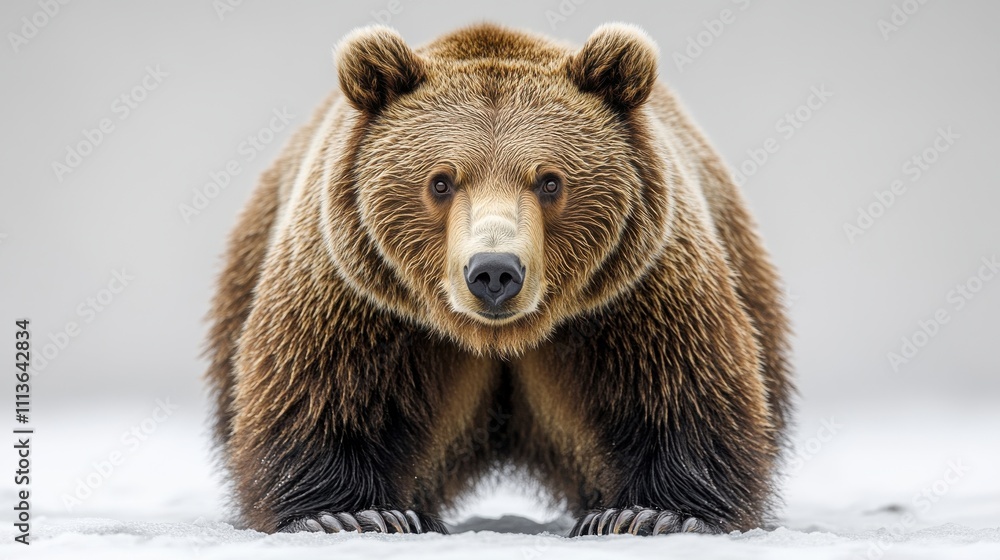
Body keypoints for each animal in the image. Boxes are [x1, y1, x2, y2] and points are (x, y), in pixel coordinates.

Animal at [204, 22, 793, 537]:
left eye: (550, 180)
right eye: (440, 181)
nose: (494, 271)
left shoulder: (635, 288)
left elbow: (679, 384)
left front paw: (650, 514)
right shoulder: (359, 289)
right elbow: (320, 387)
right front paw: (349, 515)